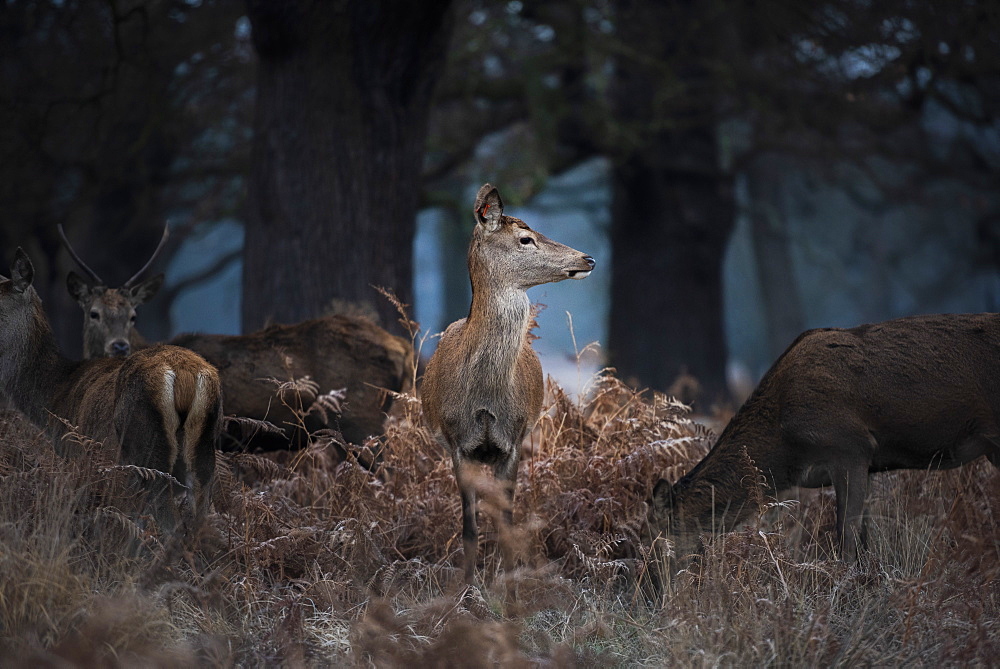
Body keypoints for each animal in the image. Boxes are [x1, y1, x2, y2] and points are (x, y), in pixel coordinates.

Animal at [420, 181, 592, 580]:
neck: (484, 398)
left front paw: (508, 587)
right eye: (525, 239)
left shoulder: (512, 440)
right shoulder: (457, 441)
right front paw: (465, 589)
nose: (588, 259)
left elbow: (506, 524)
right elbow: (469, 528)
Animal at [644, 314, 1000, 560]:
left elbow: (847, 539)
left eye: (660, 538)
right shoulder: (867, 465)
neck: (786, 453)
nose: (650, 589)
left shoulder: (851, 447)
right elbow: (863, 539)